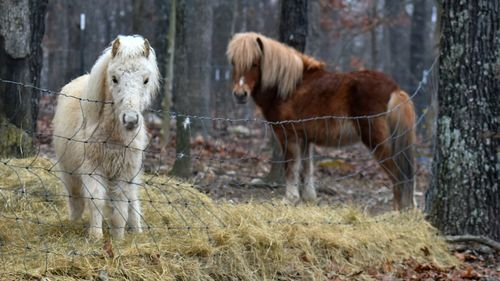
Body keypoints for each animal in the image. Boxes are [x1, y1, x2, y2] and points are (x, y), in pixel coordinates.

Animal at [53, 35, 159, 238]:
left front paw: (118, 238)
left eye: (146, 80)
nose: (131, 120)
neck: (113, 138)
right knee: (76, 198)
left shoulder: (124, 173)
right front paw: (95, 236)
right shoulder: (92, 170)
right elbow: (96, 201)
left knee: (132, 199)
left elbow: (120, 208)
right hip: (69, 172)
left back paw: (137, 229)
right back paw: (74, 222)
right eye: (114, 78)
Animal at [229, 31, 416, 209]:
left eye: (254, 64)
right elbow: (306, 168)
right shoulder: (305, 138)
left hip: (377, 142)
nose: (239, 95)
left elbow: (291, 166)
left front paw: (290, 199)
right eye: (233, 63)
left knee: (398, 176)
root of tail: (394, 89)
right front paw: (308, 198)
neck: (289, 87)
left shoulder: (288, 136)